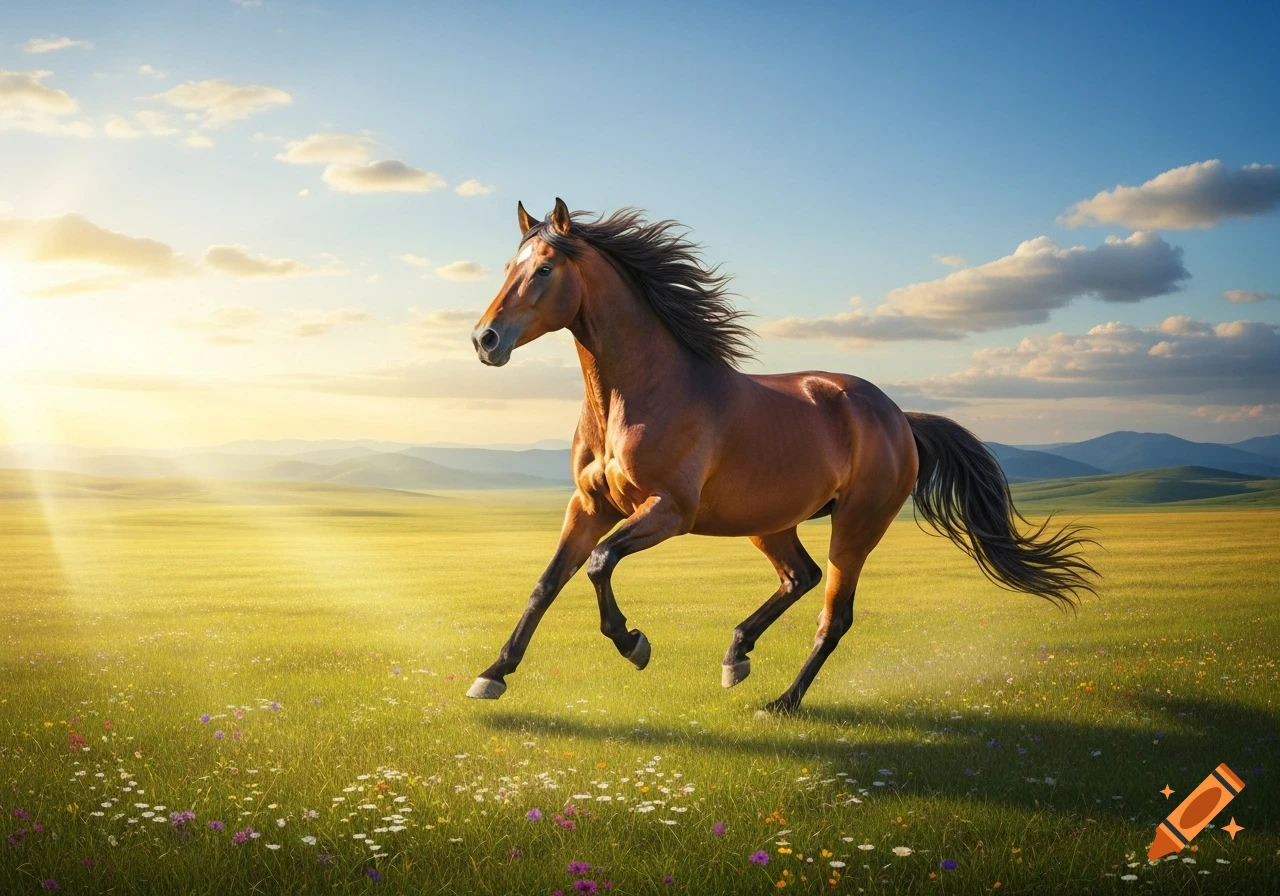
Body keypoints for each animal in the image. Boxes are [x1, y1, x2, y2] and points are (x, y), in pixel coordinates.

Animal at [466, 199, 1096, 713]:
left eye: (544, 269)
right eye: (507, 269)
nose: (484, 340)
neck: (640, 394)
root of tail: (899, 417)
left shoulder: (669, 511)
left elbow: (599, 563)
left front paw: (633, 644)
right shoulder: (590, 505)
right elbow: (547, 583)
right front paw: (493, 674)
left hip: (856, 525)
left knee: (834, 614)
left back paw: (782, 702)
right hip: (769, 521)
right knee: (801, 576)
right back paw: (736, 655)